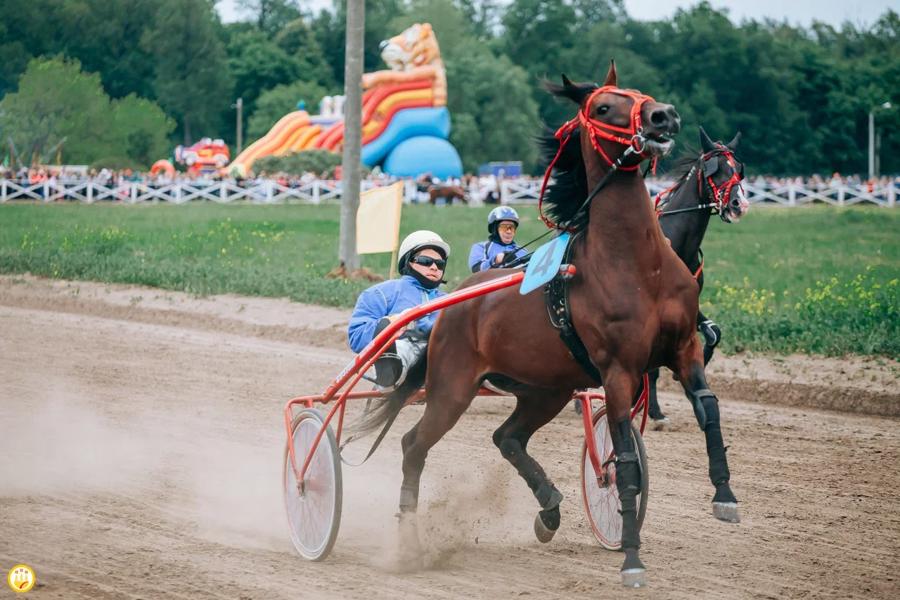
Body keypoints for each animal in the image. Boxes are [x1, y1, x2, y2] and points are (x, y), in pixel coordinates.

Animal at [358, 62, 740, 584]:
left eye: (640, 92)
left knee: (507, 437)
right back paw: (409, 540)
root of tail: (451, 305)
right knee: (413, 444)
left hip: (545, 389)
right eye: (604, 106)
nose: (663, 116)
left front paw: (725, 495)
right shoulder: (618, 371)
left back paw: (550, 506)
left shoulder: (683, 348)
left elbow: (708, 409)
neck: (638, 264)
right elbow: (624, 457)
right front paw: (632, 556)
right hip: (453, 387)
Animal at [648, 127, 752, 426]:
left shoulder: (689, 305)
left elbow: (714, 333)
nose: (740, 205)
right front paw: (655, 412)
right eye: (716, 170)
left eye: (738, 169)